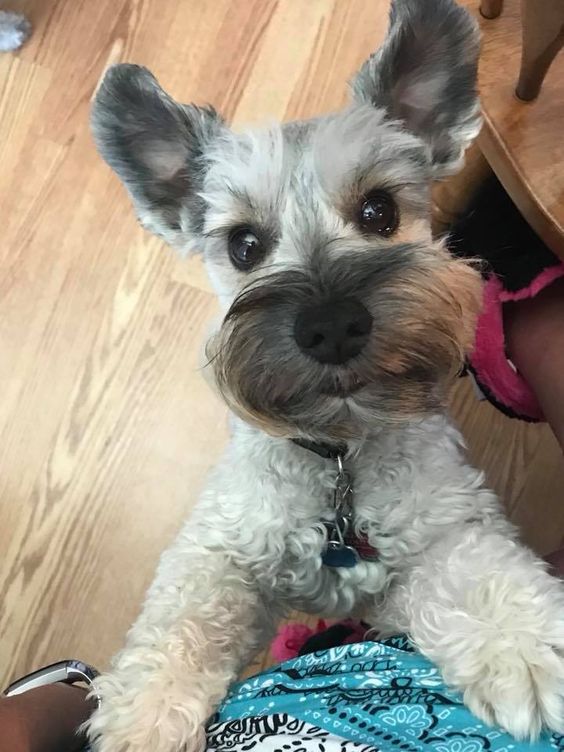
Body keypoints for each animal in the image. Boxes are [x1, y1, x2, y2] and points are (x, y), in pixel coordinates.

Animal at [86, 0, 564, 748]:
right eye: (243, 245)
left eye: (379, 211)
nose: (331, 324)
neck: (339, 457)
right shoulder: (223, 542)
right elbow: (185, 612)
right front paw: (146, 711)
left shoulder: (448, 525)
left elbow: (474, 570)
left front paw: (521, 643)